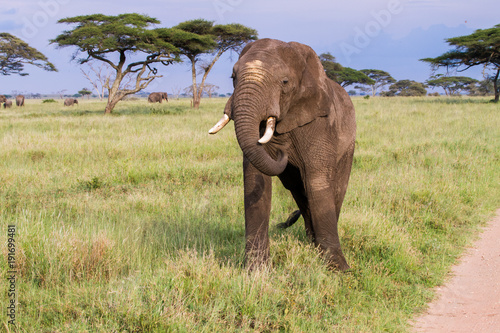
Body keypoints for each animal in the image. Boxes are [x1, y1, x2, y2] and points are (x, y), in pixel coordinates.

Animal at [209, 39, 358, 272]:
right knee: (298, 190)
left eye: (285, 82)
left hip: (348, 144)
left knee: (334, 188)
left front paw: (339, 270)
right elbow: (255, 178)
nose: (281, 152)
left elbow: (317, 180)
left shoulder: (321, 123)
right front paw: (256, 271)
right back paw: (311, 243)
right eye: (233, 77)